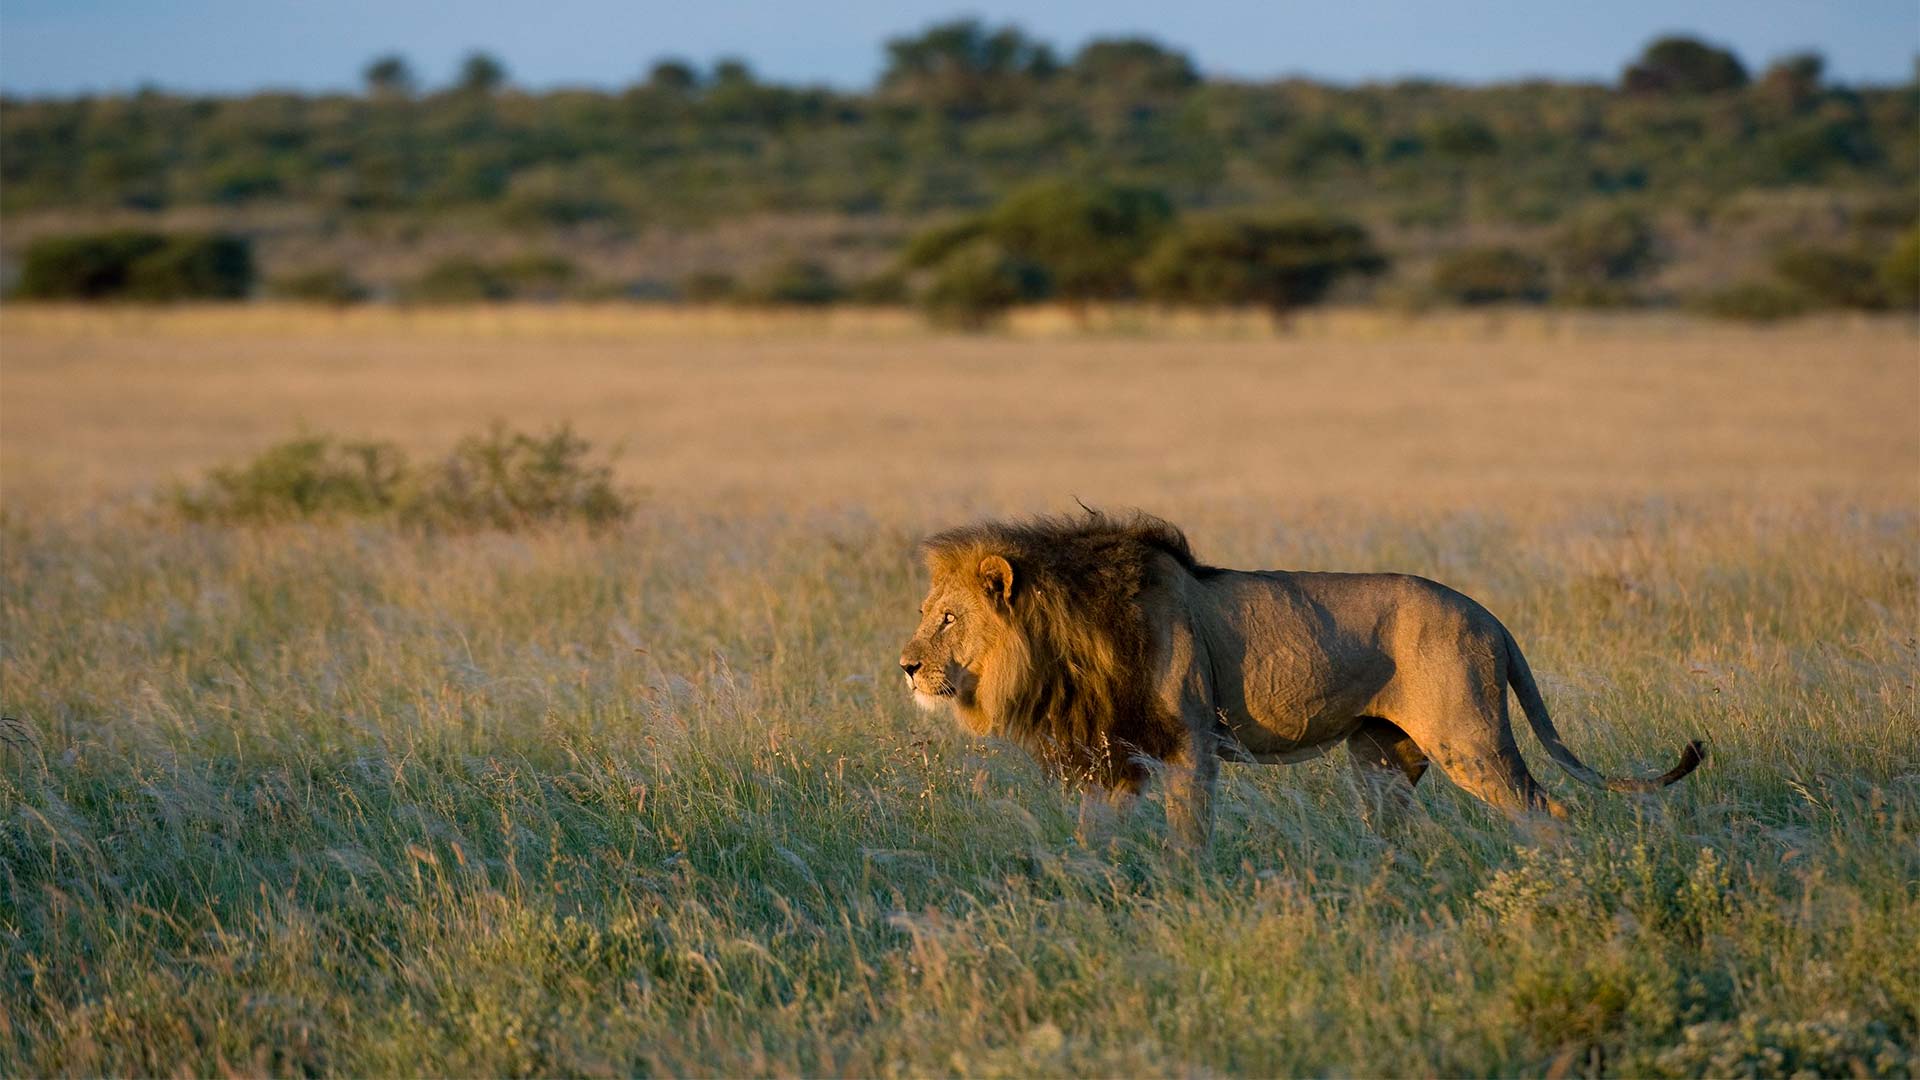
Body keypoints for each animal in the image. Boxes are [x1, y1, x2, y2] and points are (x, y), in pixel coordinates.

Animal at [897, 511, 1704, 845]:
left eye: (949, 620)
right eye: (926, 613)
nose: (905, 667)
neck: (1066, 637)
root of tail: (1491, 617)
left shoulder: (1189, 743)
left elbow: (1189, 836)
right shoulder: (1109, 754)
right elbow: (1093, 838)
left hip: (1471, 740)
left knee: (1549, 812)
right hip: (1380, 756)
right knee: (1387, 829)